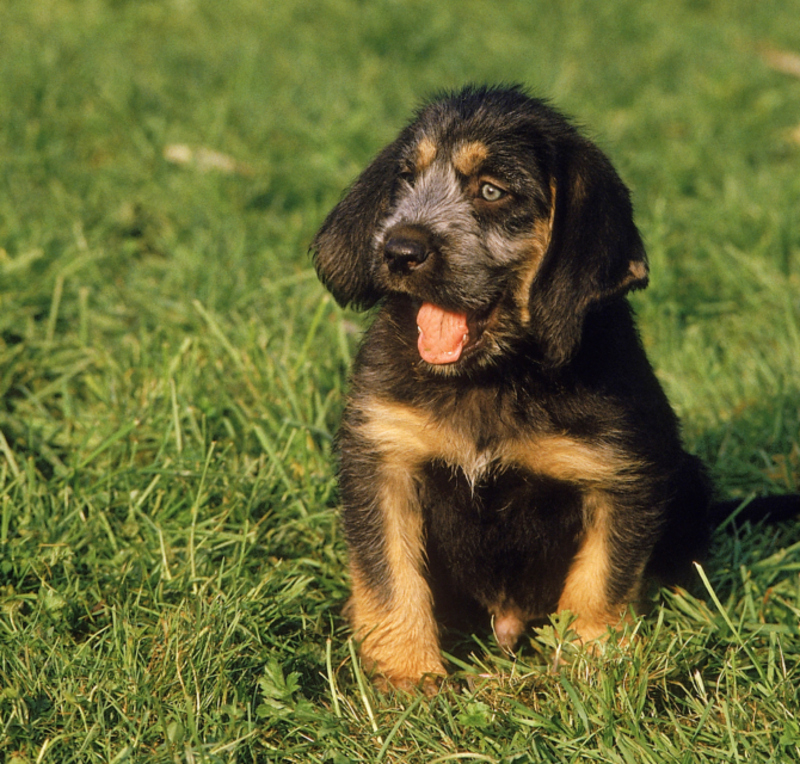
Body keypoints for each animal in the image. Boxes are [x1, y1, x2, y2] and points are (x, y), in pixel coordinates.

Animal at [310, 85, 796, 692]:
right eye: (406, 179)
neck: (494, 374)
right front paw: (407, 680)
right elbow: (391, 578)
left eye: (492, 190)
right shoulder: (383, 460)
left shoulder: (620, 476)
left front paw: (592, 668)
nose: (399, 250)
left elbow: (600, 579)